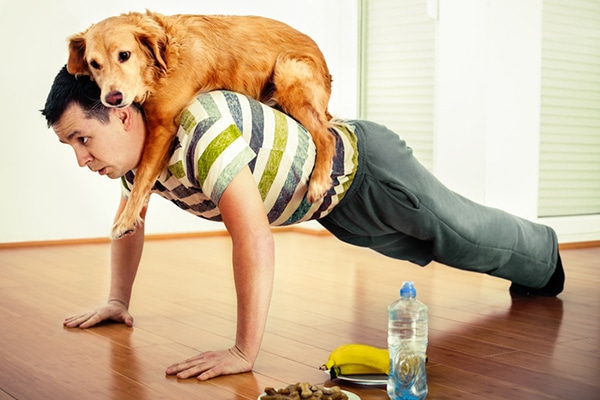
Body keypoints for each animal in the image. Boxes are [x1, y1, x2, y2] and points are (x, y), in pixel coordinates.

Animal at [69, 10, 338, 239]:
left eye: (124, 55)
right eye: (94, 64)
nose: (112, 98)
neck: (162, 60)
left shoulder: (163, 126)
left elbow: (143, 175)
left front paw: (125, 221)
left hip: (287, 71)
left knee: (327, 136)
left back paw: (318, 182)